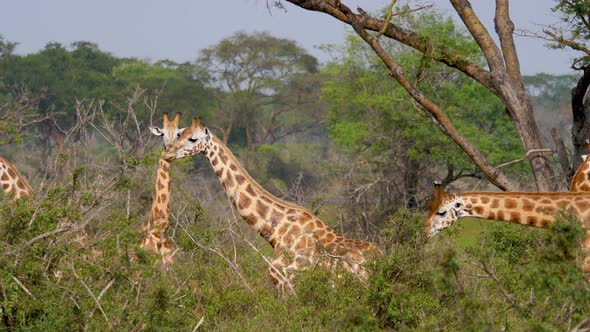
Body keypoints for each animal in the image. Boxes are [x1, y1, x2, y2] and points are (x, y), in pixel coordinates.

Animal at [164, 118, 382, 292]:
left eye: (193, 139)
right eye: (179, 134)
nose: (168, 154)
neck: (277, 231)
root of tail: (382, 257)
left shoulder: (287, 281)